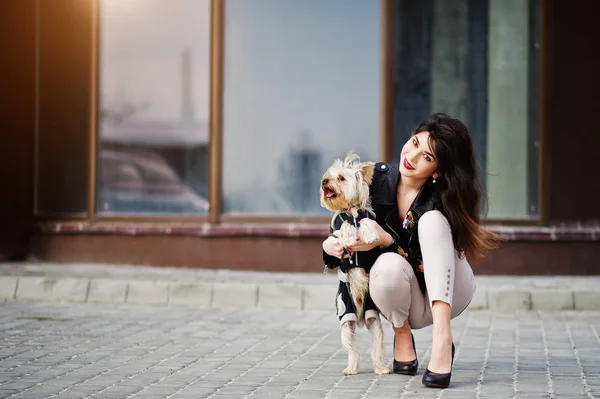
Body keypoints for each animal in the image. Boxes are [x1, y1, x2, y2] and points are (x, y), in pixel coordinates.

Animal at [318, 153, 390, 378]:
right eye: (326, 176)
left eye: (341, 178)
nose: (324, 182)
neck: (350, 210)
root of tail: (359, 318)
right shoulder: (337, 229)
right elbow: (343, 227)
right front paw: (350, 235)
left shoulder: (368, 217)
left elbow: (367, 223)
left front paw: (370, 234)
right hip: (345, 318)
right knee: (352, 349)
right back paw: (351, 369)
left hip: (373, 316)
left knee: (376, 346)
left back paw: (381, 368)